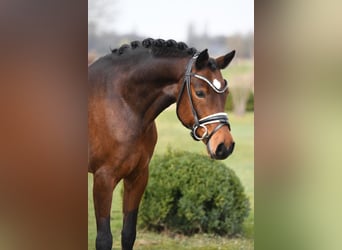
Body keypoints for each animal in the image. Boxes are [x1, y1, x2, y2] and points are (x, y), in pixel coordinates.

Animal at [88, 37, 235, 250]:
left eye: (226, 93)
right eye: (200, 93)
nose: (225, 146)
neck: (124, 104)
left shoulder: (138, 176)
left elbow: (128, 234)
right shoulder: (103, 179)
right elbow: (104, 239)